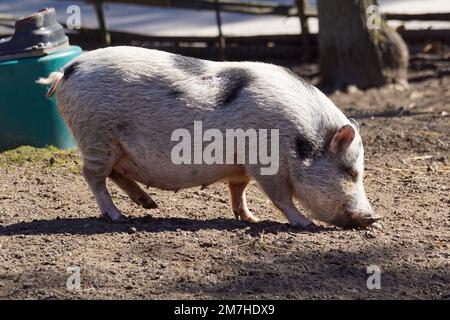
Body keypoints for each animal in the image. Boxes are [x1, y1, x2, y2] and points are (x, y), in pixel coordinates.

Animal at [37, 46, 380, 229]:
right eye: (351, 172)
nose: (372, 217)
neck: (299, 138)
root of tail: (65, 72)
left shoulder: (241, 166)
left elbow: (238, 190)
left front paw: (251, 219)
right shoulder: (266, 165)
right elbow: (281, 197)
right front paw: (303, 224)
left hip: (111, 144)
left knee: (116, 174)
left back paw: (149, 205)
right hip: (96, 135)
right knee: (93, 177)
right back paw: (119, 217)